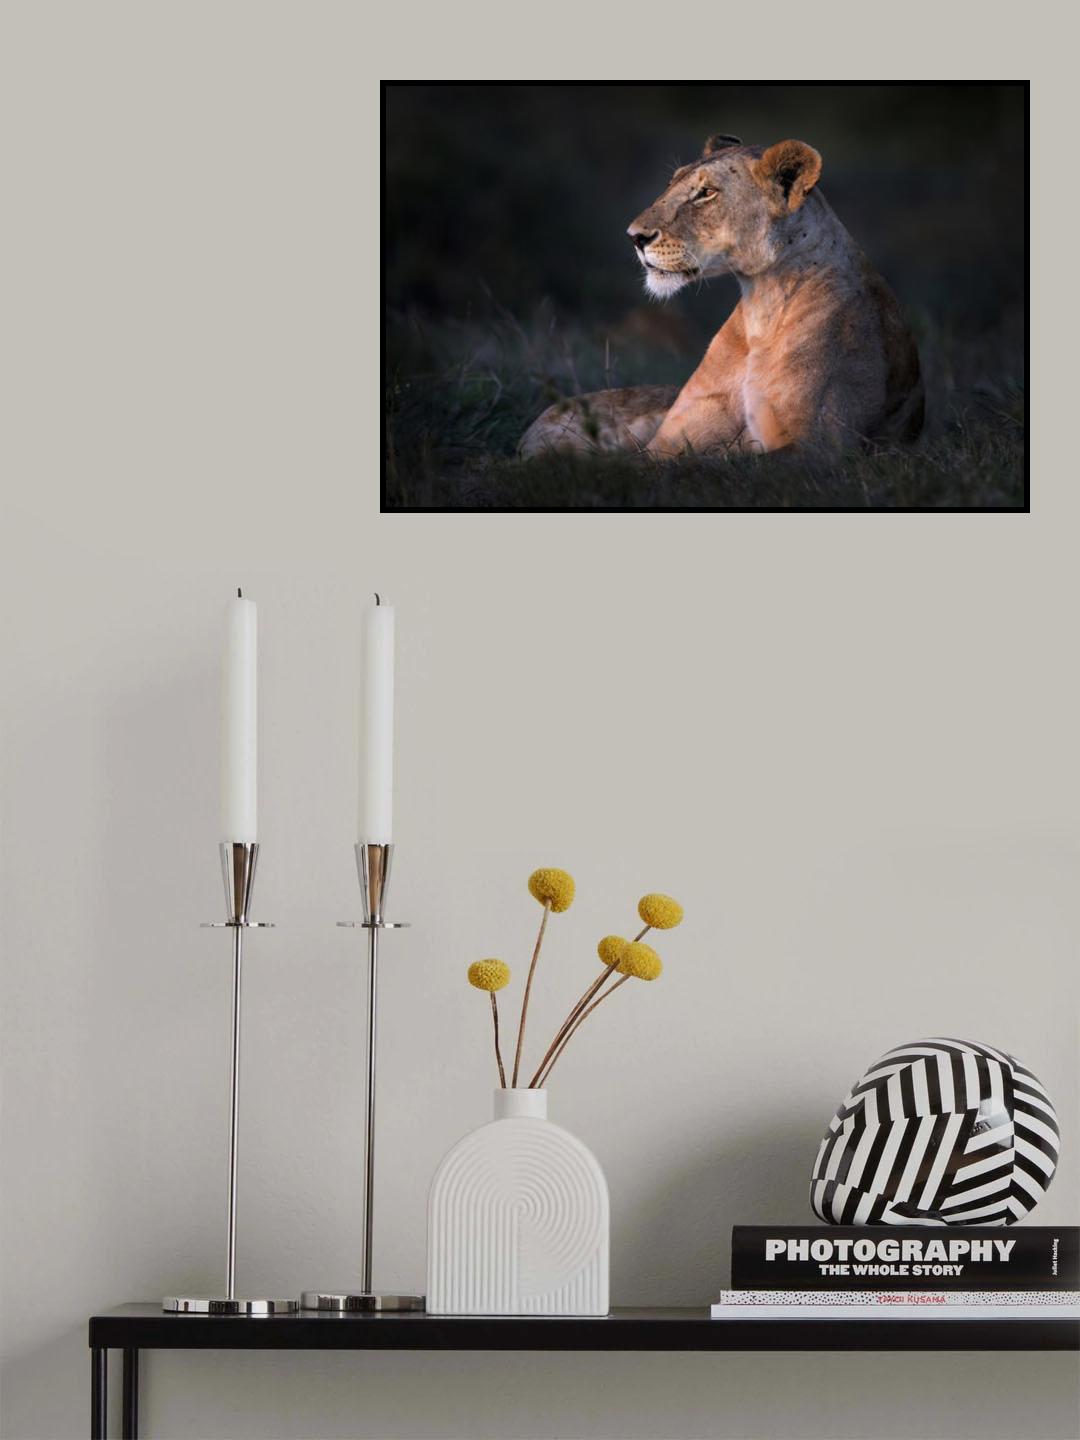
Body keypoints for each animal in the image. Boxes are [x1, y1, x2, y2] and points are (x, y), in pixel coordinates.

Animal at [519, 135, 923, 458]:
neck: (762, 305)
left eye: (705, 193)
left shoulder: (818, 448)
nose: (634, 236)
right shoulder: (668, 440)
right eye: (671, 184)